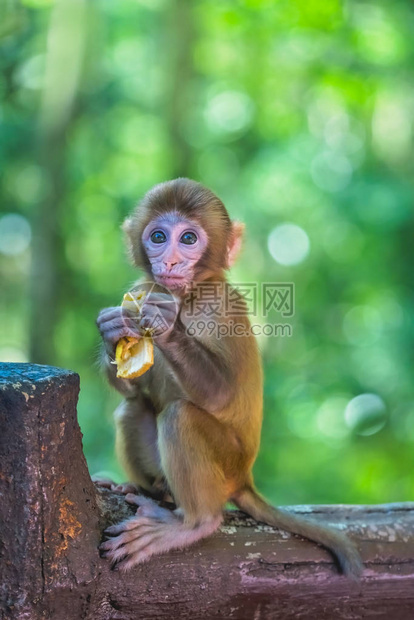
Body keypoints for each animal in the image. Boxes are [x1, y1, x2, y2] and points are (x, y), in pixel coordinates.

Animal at [95, 178, 360, 576]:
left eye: (188, 239)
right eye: (158, 236)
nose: (169, 260)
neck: (186, 296)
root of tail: (244, 478)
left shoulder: (219, 307)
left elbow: (220, 394)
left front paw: (167, 326)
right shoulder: (142, 288)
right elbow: (133, 385)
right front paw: (112, 332)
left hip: (226, 465)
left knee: (182, 416)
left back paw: (193, 524)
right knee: (134, 407)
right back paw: (148, 490)